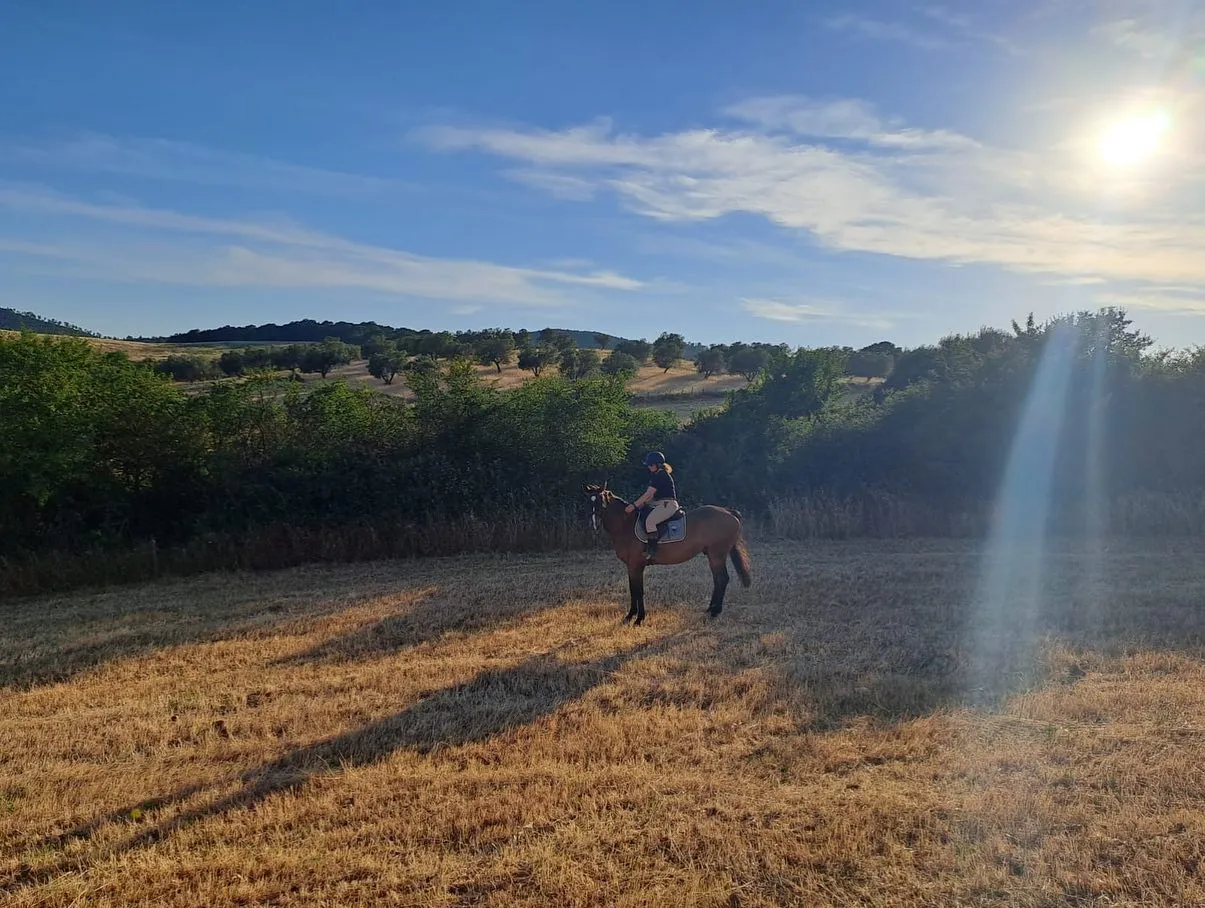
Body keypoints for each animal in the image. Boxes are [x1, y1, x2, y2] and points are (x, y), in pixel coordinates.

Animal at [584, 483, 751, 625]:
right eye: (589, 502)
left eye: (600, 501)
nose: (593, 524)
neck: (626, 525)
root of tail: (728, 511)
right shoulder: (632, 567)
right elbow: (634, 590)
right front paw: (630, 616)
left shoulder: (636, 565)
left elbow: (638, 591)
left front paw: (638, 618)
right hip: (714, 555)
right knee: (718, 580)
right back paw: (711, 610)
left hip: (717, 555)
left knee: (722, 579)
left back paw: (715, 612)